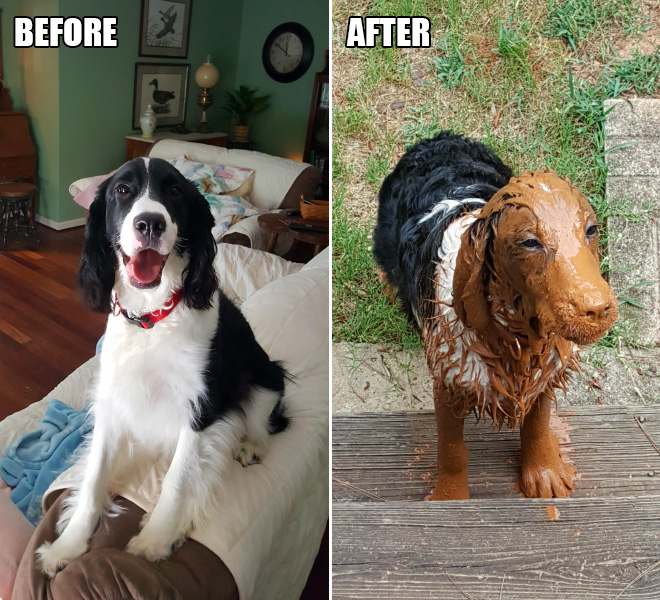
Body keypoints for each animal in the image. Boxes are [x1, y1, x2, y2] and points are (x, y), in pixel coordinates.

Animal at [37, 157, 288, 576]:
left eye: (174, 192)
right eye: (122, 190)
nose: (150, 223)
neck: (151, 318)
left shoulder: (202, 407)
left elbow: (178, 478)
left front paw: (154, 540)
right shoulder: (113, 399)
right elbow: (93, 479)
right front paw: (67, 545)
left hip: (267, 375)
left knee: (262, 417)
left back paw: (251, 446)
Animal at [374, 132, 616, 502]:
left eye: (591, 229)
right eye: (530, 242)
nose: (598, 309)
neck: (515, 335)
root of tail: (438, 138)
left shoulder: (544, 370)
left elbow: (537, 423)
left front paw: (543, 474)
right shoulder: (450, 382)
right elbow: (452, 449)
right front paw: (450, 498)